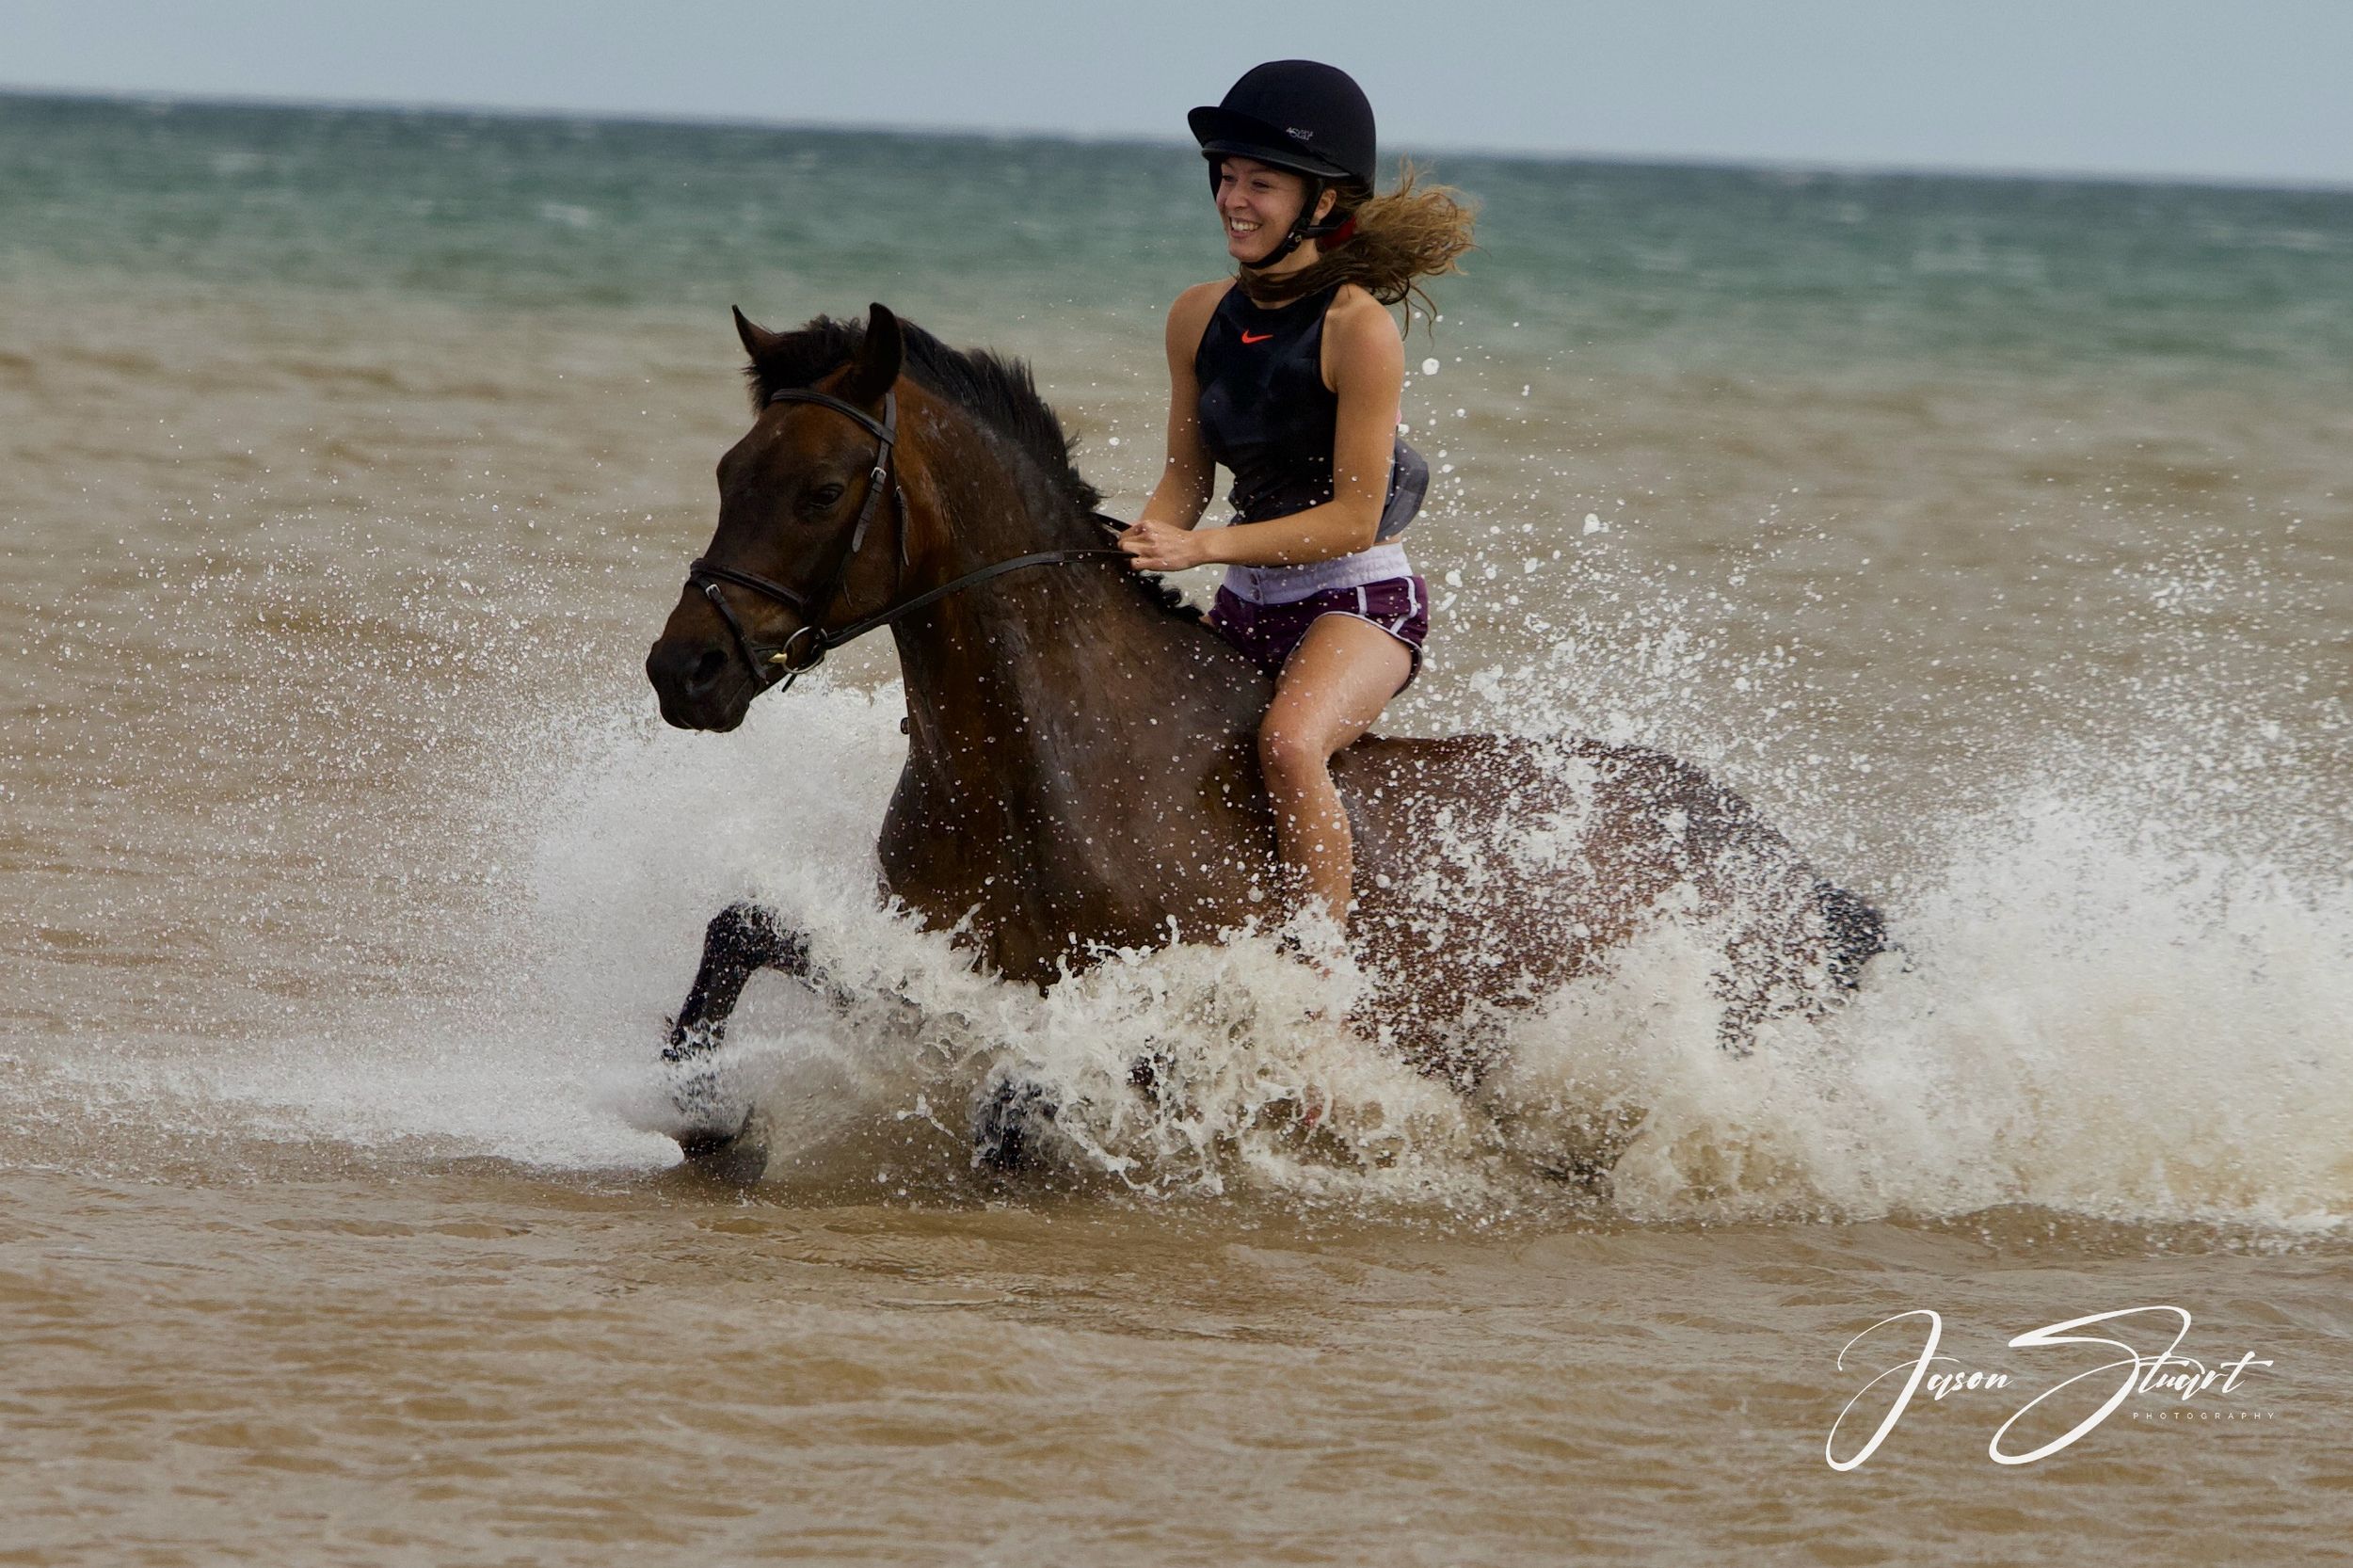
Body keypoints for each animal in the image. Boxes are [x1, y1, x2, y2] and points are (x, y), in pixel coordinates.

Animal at [643, 303, 1886, 1179]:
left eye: (820, 489)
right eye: (726, 472)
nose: (681, 671)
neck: (1051, 758)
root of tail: (1792, 870)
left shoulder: (1165, 1010)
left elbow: (1026, 1098)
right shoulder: (949, 965)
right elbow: (739, 931)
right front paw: (709, 1123)